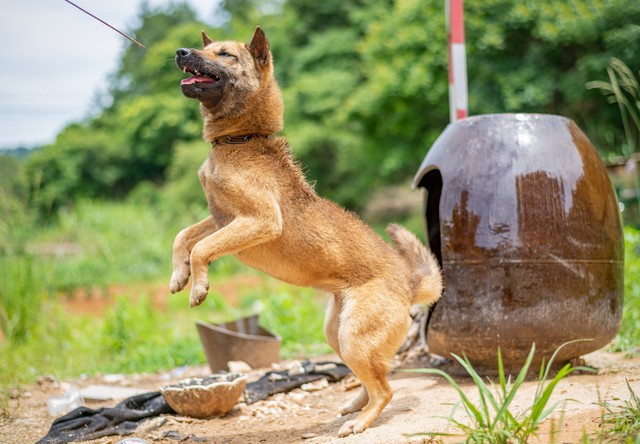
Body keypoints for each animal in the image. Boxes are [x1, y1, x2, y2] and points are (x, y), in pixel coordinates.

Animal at [170, 26, 440, 438]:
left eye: (225, 54)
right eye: (206, 47)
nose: (182, 51)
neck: (242, 140)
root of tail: (409, 284)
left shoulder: (258, 221)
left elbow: (202, 248)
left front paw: (199, 286)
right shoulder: (220, 218)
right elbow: (184, 237)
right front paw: (178, 275)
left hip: (352, 338)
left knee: (386, 389)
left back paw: (360, 422)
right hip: (338, 335)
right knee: (374, 379)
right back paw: (354, 406)